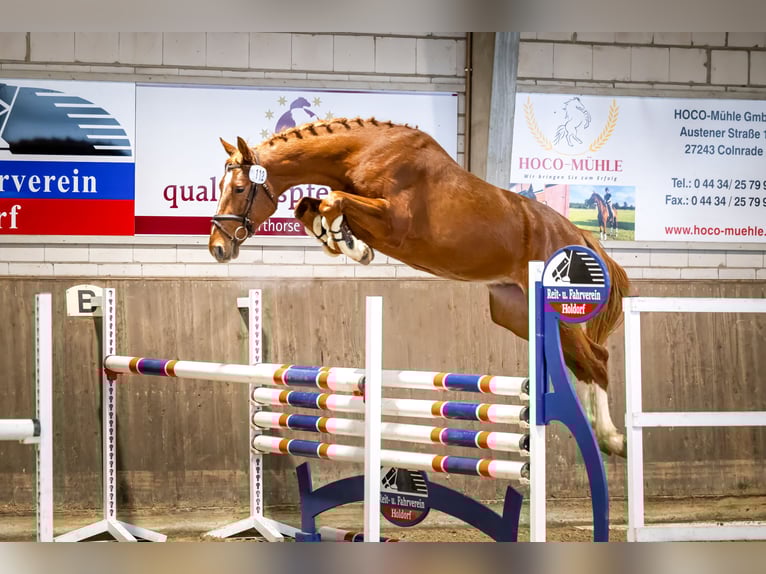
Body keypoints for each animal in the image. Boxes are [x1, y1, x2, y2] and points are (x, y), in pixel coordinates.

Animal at [209, 117, 631, 457]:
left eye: (240, 188)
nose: (218, 247)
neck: (365, 152)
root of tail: (576, 233)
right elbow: (311, 205)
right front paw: (341, 240)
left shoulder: (393, 222)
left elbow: (333, 199)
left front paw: (350, 244)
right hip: (516, 313)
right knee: (580, 362)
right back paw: (596, 429)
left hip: (555, 306)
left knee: (597, 360)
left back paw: (612, 439)